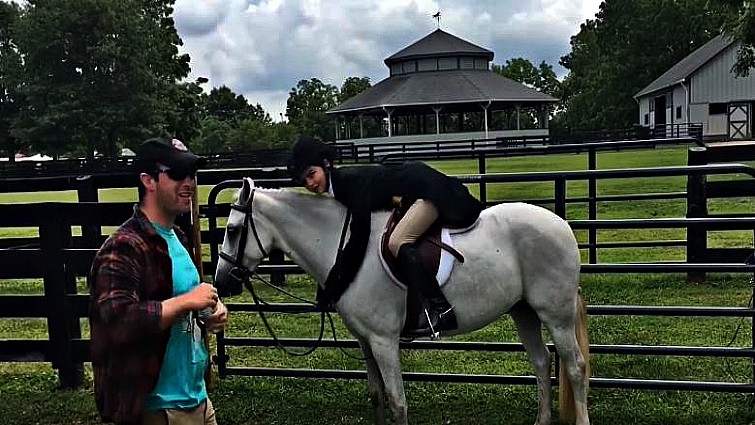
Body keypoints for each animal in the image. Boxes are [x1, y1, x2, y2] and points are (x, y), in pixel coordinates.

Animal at [214, 177, 590, 425]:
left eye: (232, 230)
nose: (220, 283)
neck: (344, 244)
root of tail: (561, 224)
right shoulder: (365, 341)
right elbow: (376, 396)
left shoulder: (384, 341)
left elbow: (398, 402)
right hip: (523, 311)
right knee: (541, 363)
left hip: (555, 315)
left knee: (574, 367)